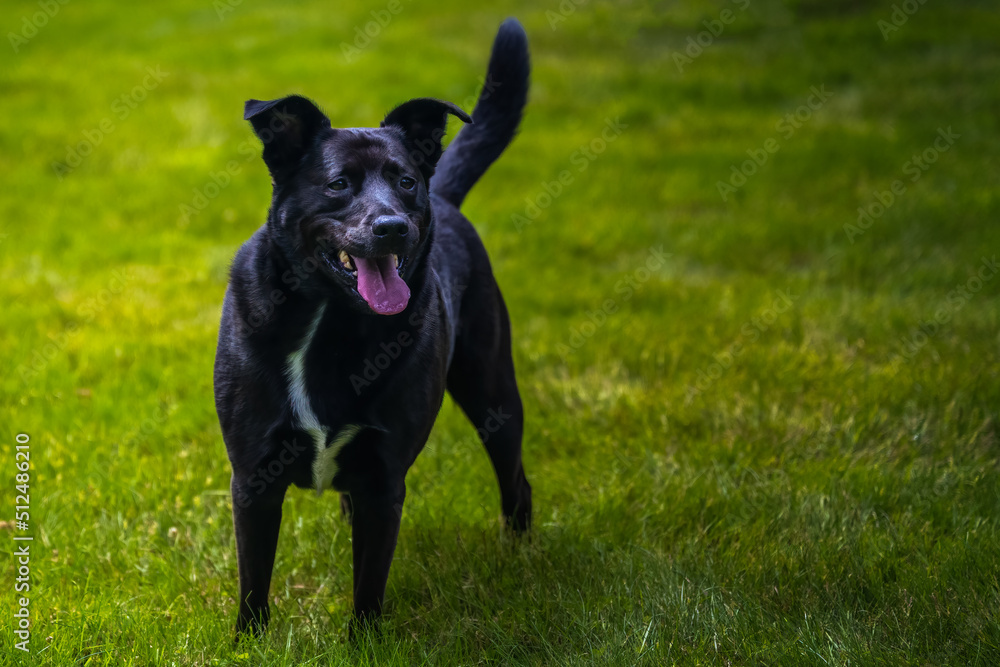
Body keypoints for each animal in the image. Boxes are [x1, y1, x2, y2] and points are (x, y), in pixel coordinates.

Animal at [216, 19, 536, 636]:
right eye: (339, 184)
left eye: (405, 182)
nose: (392, 227)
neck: (331, 321)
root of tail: (446, 196)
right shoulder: (254, 477)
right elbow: (254, 579)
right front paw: (249, 641)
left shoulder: (384, 481)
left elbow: (369, 583)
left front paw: (363, 643)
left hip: (492, 390)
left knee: (515, 478)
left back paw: (521, 554)